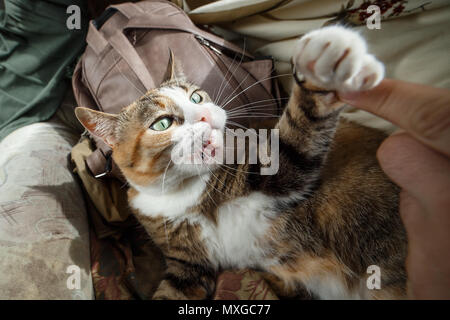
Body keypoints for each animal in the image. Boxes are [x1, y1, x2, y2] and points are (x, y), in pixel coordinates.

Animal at [74, 25, 408, 300]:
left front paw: (322, 65)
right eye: (162, 123)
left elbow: (295, 141)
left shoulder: (279, 171)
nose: (205, 115)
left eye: (196, 98)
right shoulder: (188, 265)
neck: (183, 190)